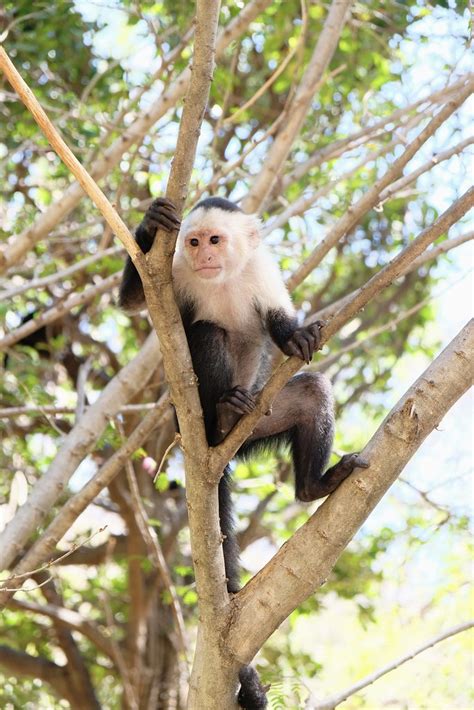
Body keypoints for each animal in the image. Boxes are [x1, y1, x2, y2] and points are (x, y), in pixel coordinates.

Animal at [117, 199, 366, 710]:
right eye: (193, 242)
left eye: (216, 240)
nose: (205, 255)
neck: (222, 279)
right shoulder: (175, 272)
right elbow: (136, 300)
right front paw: (150, 224)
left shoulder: (261, 272)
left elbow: (279, 322)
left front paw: (295, 336)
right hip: (187, 416)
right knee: (208, 332)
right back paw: (220, 418)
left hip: (261, 420)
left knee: (313, 391)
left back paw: (312, 485)